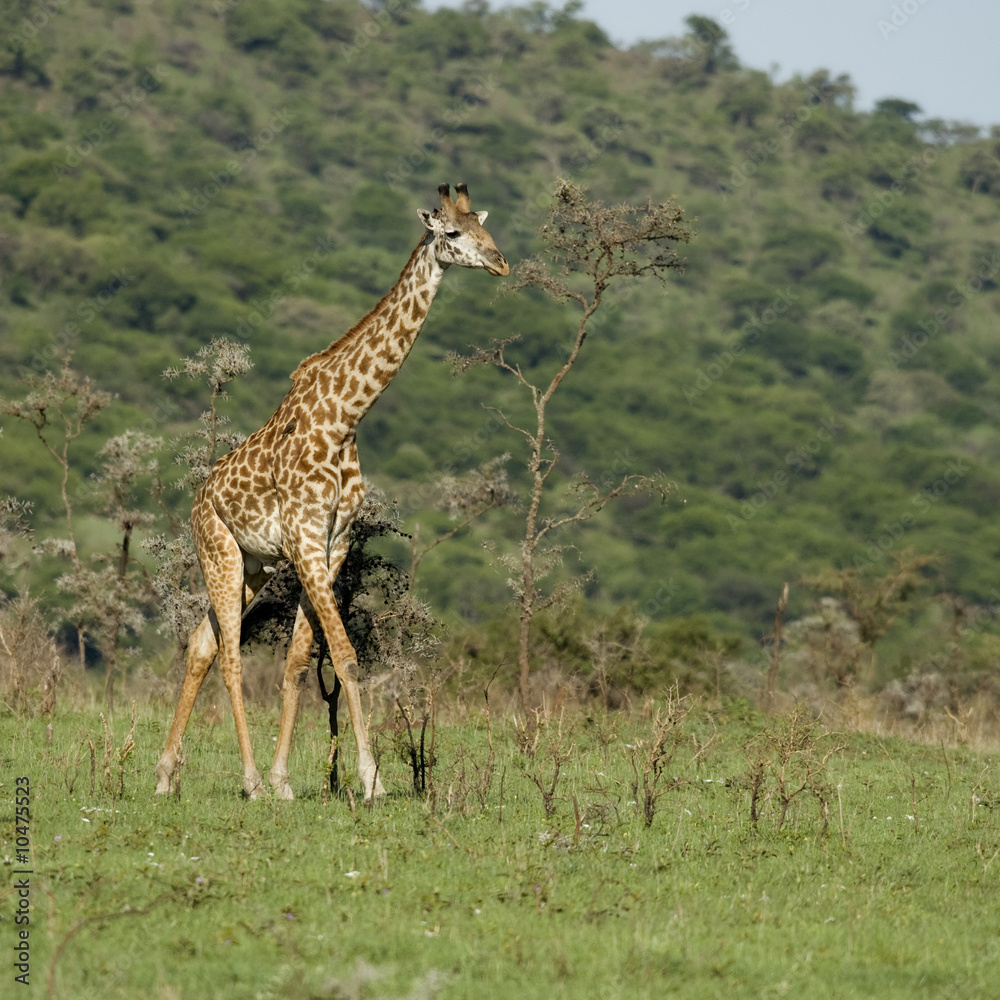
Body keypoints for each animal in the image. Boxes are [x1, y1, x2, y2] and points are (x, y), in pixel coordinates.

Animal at [155, 184, 508, 800]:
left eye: (484, 227)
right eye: (452, 234)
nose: (500, 262)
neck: (345, 418)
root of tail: (196, 503)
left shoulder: (330, 543)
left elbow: (300, 660)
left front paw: (285, 783)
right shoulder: (304, 539)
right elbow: (344, 655)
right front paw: (370, 780)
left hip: (252, 567)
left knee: (202, 644)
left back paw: (166, 775)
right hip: (219, 553)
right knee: (229, 657)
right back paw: (246, 780)